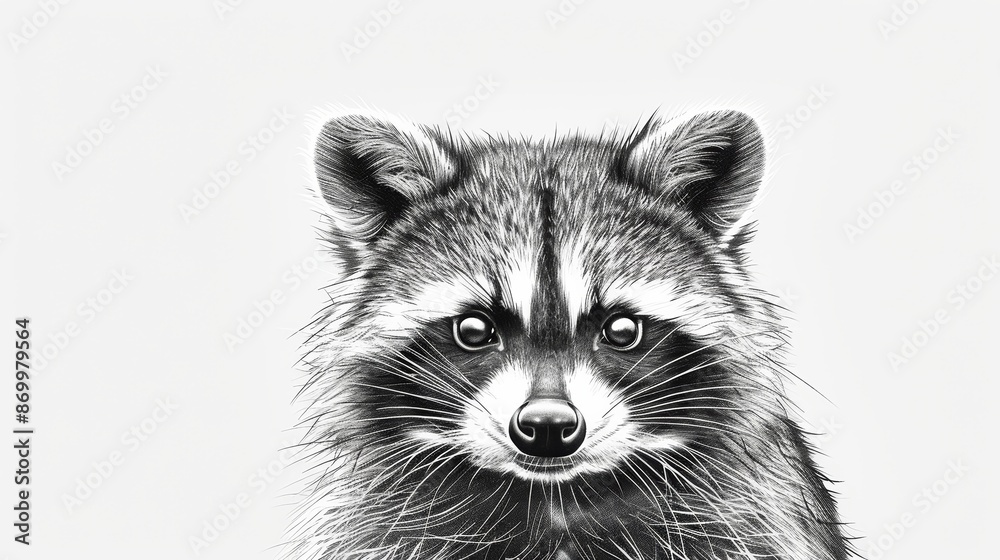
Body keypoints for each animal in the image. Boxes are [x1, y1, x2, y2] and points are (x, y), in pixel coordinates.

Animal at [286, 109, 851, 560]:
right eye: (474, 329)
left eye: (620, 329)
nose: (548, 426)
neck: (554, 498)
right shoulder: (375, 524)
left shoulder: (750, 519)